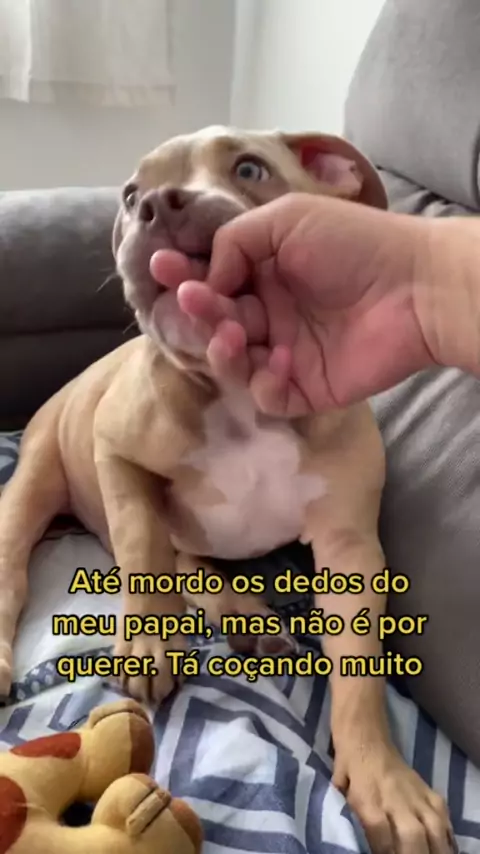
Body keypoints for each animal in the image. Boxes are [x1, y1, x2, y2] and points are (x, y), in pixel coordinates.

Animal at [0, 126, 453, 853]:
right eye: (129, 194)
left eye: (249, 170)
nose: (154, 204)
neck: (239, 392)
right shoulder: (116, 452)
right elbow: (143, 546)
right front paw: (150, 643)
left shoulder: (351, 550)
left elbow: (361, 673)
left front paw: (386, 783)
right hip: (35, 480)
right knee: (26, 569)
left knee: (190, 560)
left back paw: (245, 615)